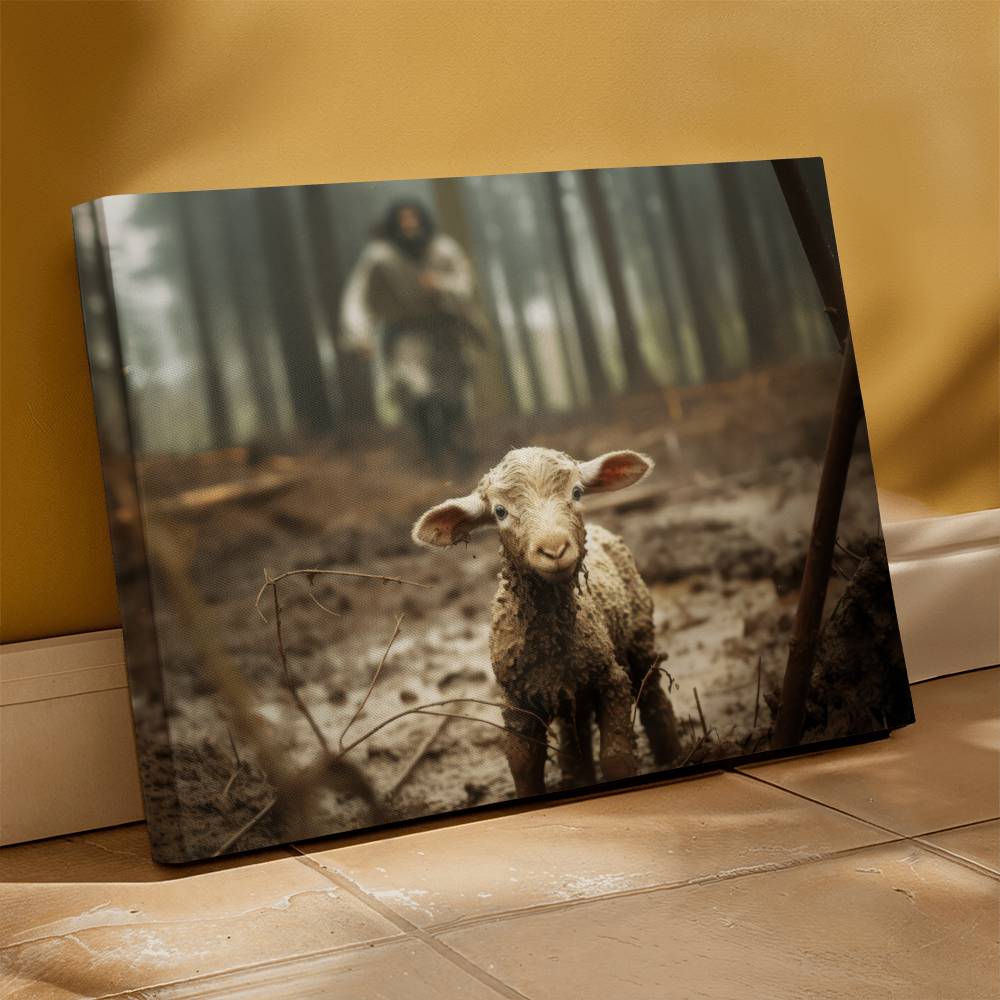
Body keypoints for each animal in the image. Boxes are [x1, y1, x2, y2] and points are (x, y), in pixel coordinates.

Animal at [413, 446, 682, 797]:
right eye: (500, 511)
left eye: (577, 492)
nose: (554, 549)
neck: (550, 644)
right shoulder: (517, 702)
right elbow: (523, 767)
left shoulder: (611, 680)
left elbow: (616, 758)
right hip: (571, 689)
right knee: (573, 727)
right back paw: (578, 776)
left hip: (639, 635)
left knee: (652, 693)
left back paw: (671, 756)